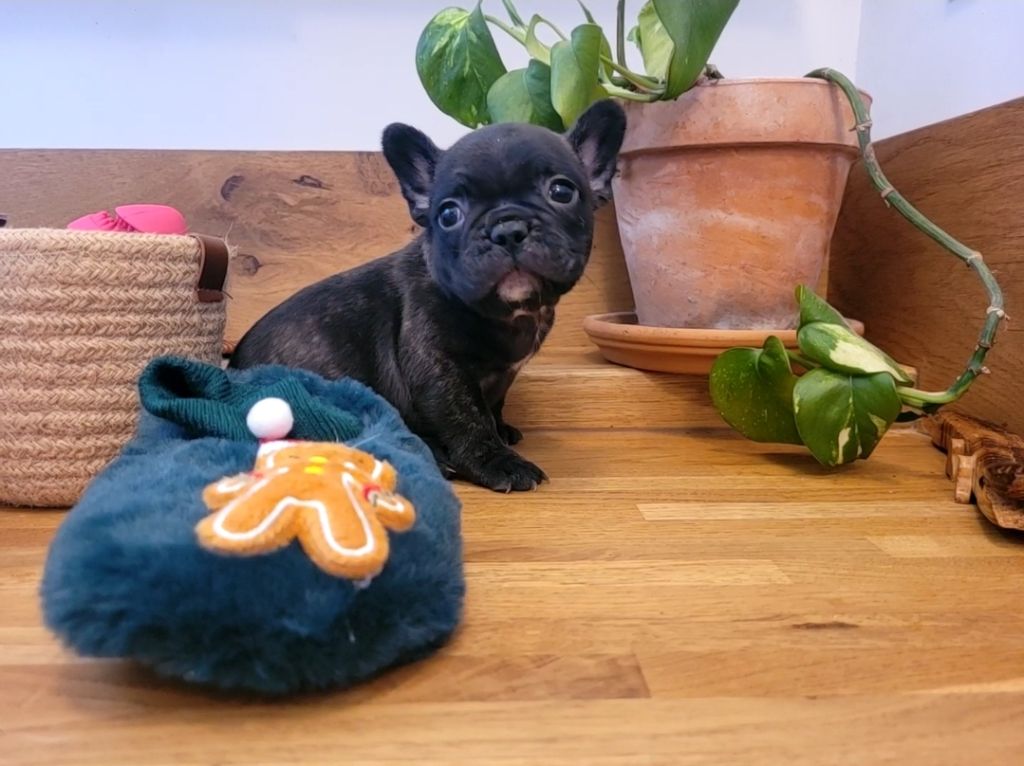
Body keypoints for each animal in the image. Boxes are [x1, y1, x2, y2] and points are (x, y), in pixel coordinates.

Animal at [230, 99, 627, 492]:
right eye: (449, 213)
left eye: (561, 192)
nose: (507, 229)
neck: (509, 314)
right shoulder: (438, 367)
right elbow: (467, 419)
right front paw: (499, 462)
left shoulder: (502, 375)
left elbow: (494, 404)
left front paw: (502, 429)